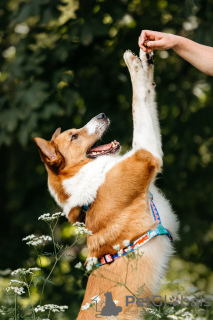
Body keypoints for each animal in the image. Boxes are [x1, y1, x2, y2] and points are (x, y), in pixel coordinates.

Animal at [34, 48, 180, 318]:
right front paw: (133, 64)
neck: (88, 179)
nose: (101, 114)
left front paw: (146, 61)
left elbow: (148, 95)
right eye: (75, 136)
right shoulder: (146, 153)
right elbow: (137, 101)